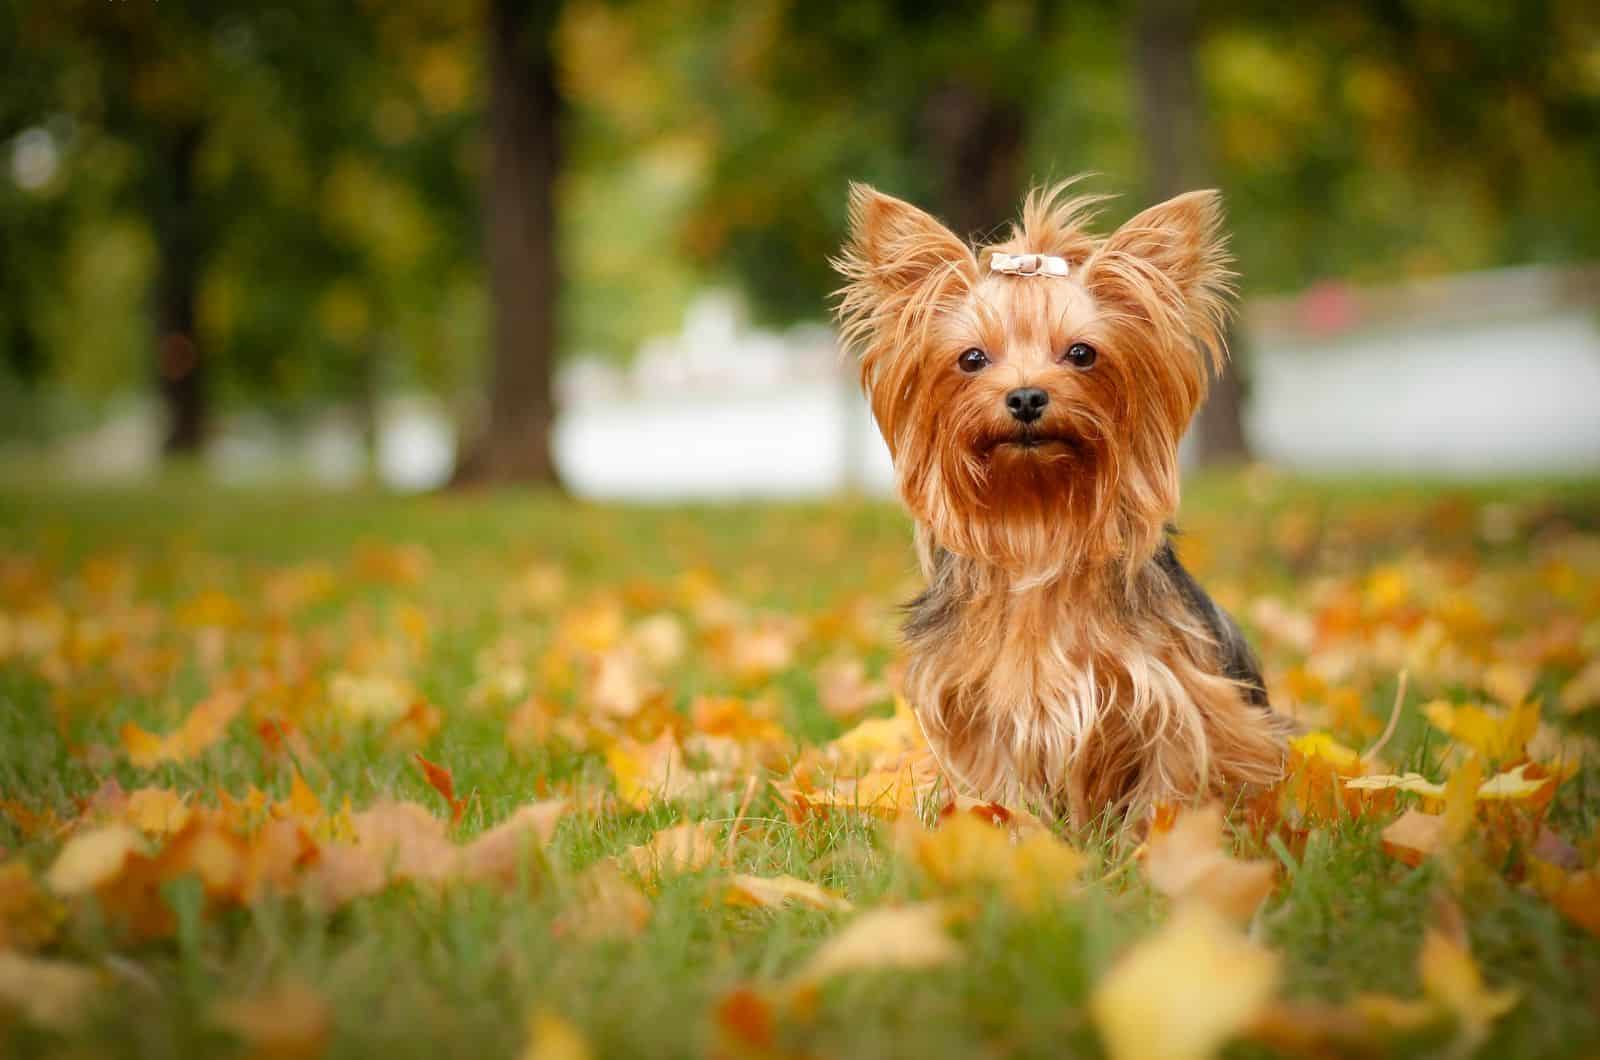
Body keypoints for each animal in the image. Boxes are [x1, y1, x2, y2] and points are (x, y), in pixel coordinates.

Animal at [838, 182, 1286, 819]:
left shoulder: (1179, 697)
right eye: (971, 359)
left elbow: (1173, 779)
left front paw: (1159, 842)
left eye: (1081, 354)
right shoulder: (976, 709)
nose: (1026, 397)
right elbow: (998, 787)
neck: (1037, 521)